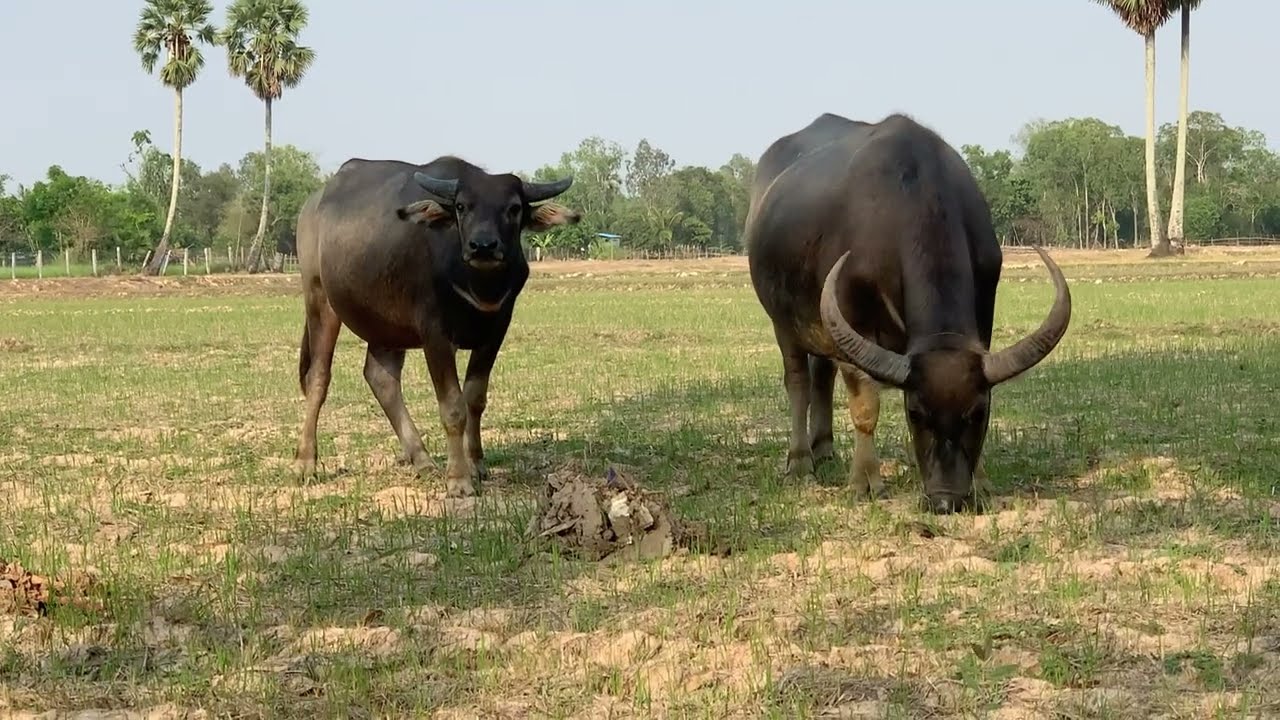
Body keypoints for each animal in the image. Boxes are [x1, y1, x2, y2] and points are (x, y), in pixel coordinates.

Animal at [294, 155, 581, 497]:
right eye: (461, 206)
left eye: (513, 207)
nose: (483, 246)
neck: (477, 285)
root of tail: (313, 204)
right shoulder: (435, 336)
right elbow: (453, 407)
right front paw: (458, 479)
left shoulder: (496, 331)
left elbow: (475, 398)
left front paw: (476, 464)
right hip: (319, 298)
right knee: (318, 377)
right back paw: (306, 462)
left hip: (387, 325)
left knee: (381, 378)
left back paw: (422, 460)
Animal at [743, 112, 1071, 513]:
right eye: (915, 412)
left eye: (977, 412)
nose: (945, 500)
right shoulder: (851, 316)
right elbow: (865, 406)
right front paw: (865, 481)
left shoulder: (985, 305)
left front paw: (980, 482)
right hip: (783, 322)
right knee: (798, 382)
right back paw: (800, 461)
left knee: (822, 375)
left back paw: (825, 452)